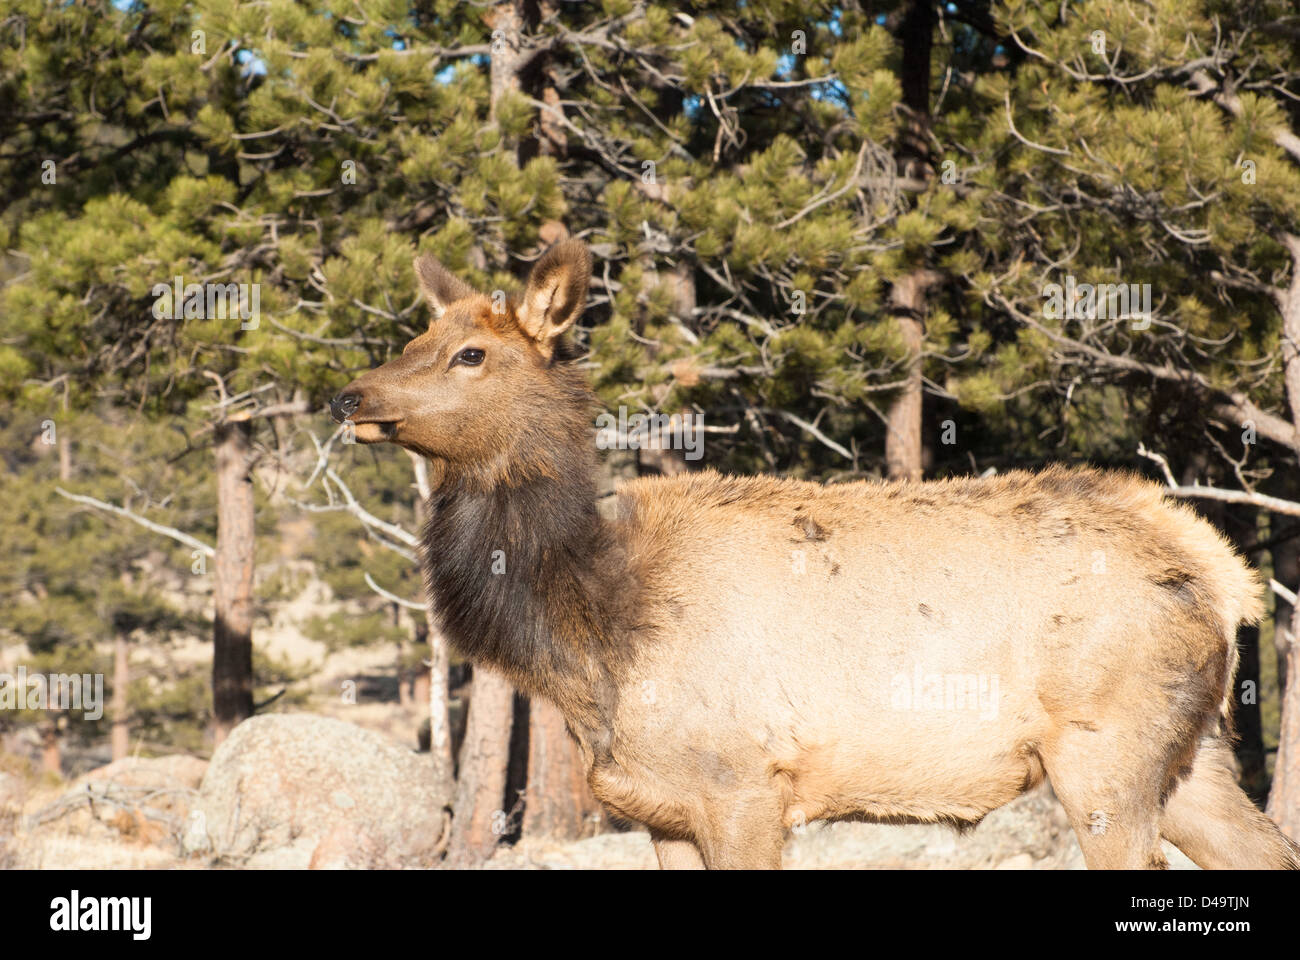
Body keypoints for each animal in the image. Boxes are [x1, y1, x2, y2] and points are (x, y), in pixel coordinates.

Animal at [330, 238, 1300, 870]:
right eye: (414, 340)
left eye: (469, 353)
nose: (351, 395)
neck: (590, 637)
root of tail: (1222, 575)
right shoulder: (661, 807)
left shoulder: (747, 787)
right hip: (1192, 754)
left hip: (1107, 752)